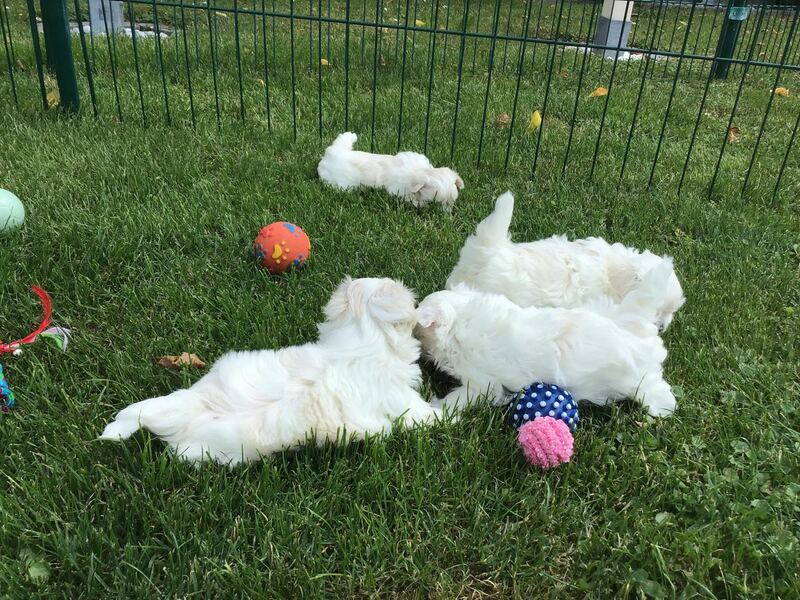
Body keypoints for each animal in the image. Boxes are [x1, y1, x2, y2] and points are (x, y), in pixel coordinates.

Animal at [317, 132, 464, 210]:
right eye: (434, 203)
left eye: (452, 203)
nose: (446, 214)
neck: (416, 172)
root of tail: (332, 153)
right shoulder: (399, 192)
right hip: (340, 184)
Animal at [415, 263, 677, 417]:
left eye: (417, 330)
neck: (460, 320)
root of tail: (638, 326)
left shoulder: (482, 384)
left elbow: (461, 398)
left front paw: (437, 407)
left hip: (639, 379)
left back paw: (663, 407)